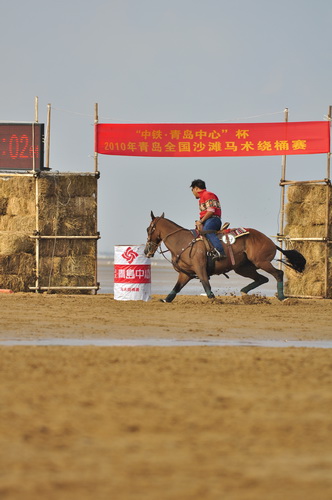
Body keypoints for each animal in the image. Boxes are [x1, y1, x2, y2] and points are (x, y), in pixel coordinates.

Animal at [144, 211, 304, 300]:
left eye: (148, 229)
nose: (146, 251)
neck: (183, 242)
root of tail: (270, 241)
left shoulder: (200, 268)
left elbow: (206, 284)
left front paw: (214, 299)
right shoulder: (186, 274)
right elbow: (176, 289)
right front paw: (165, 300)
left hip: (262, 262)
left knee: (278, 274)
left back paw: (283, 298)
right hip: (243, 268)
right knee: (262, 278)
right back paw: (244, 294)